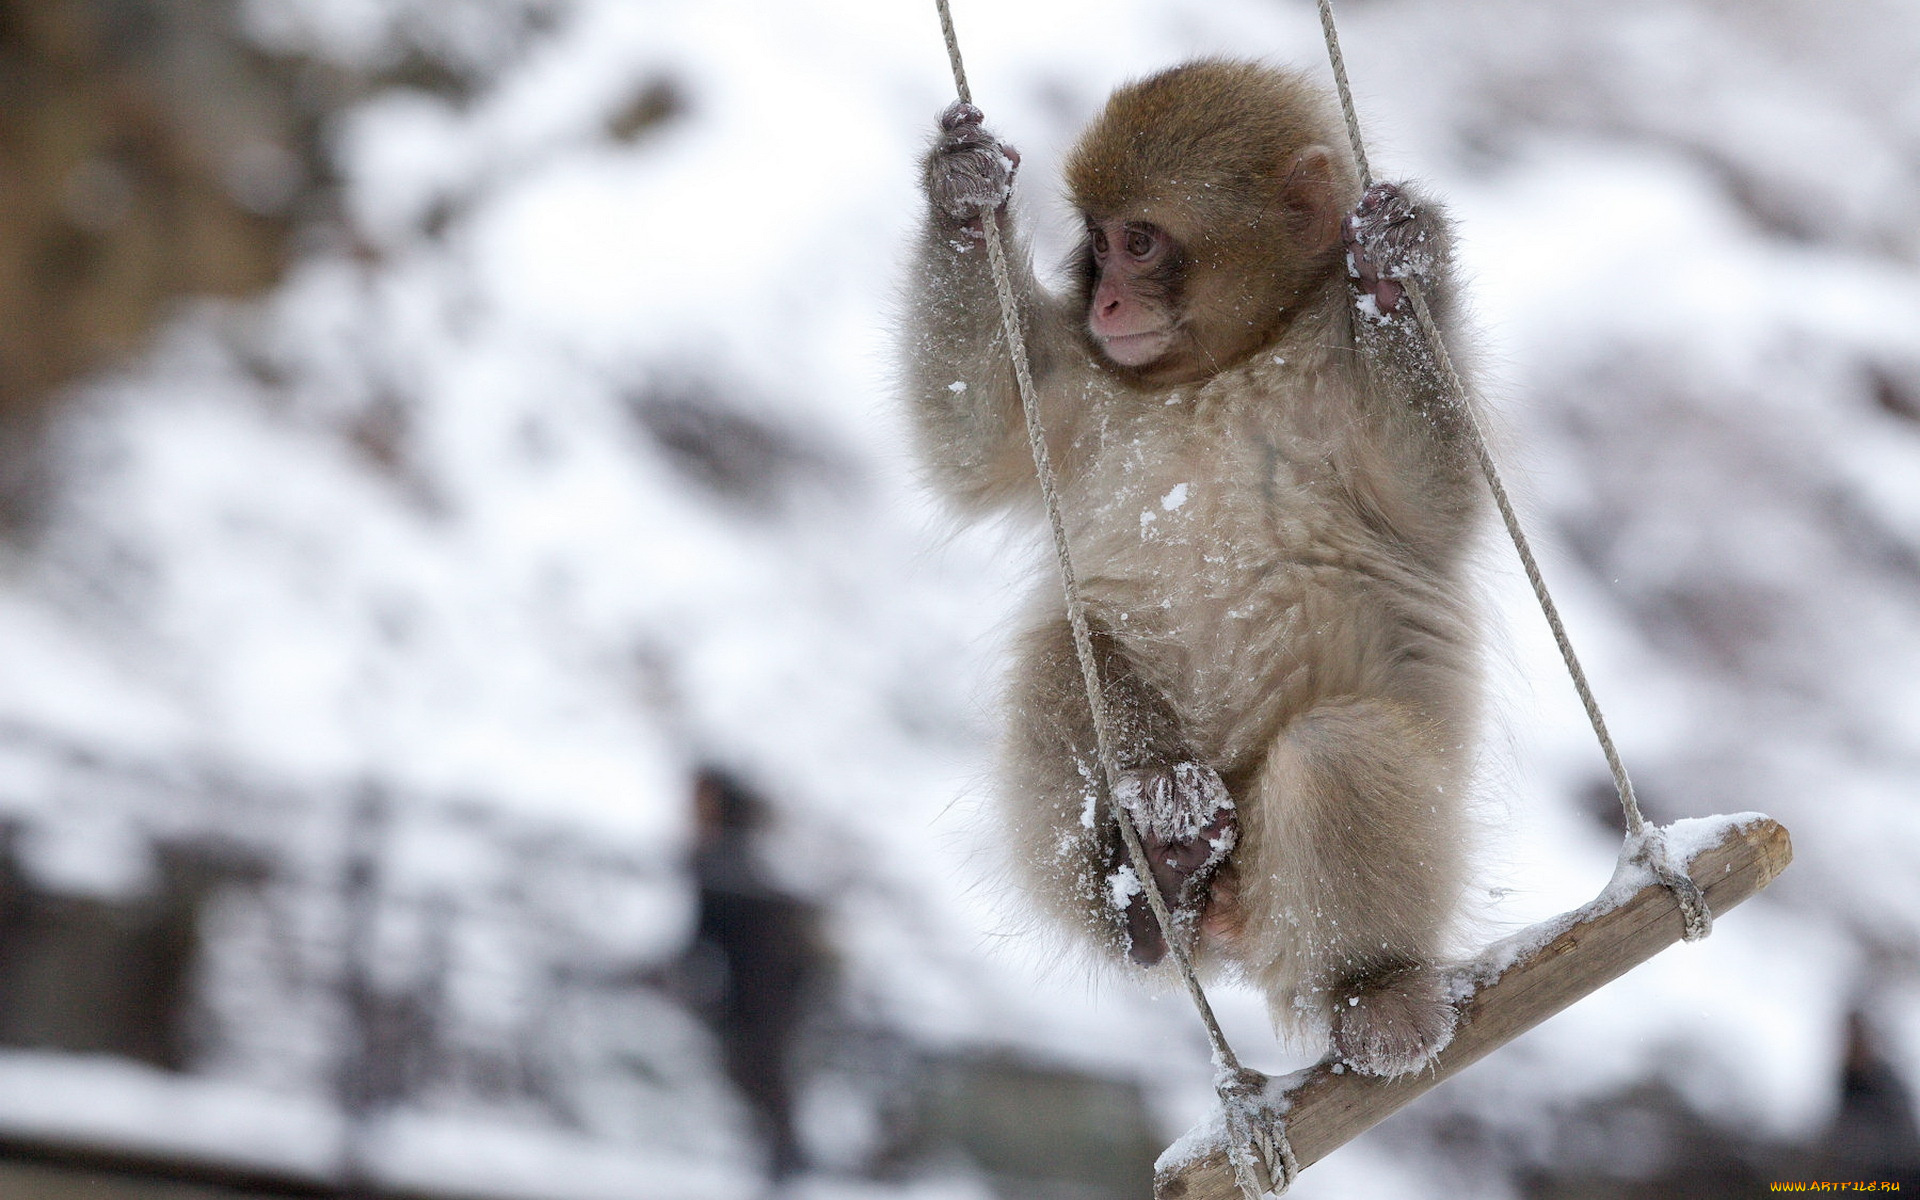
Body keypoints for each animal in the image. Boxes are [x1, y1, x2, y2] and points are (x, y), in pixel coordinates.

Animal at [901, 59, 1484, 1078]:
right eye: (1097, 244)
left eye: (1140, 242)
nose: (1107, 302)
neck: (1225, 365)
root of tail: (1234, 929)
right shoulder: (1088, 386)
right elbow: (975, 432)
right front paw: (964, 192)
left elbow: (1435, 502)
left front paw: (1391, 271)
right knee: (1066, 653)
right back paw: (1155, 879)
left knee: (1335, 753)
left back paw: (1373, 988)